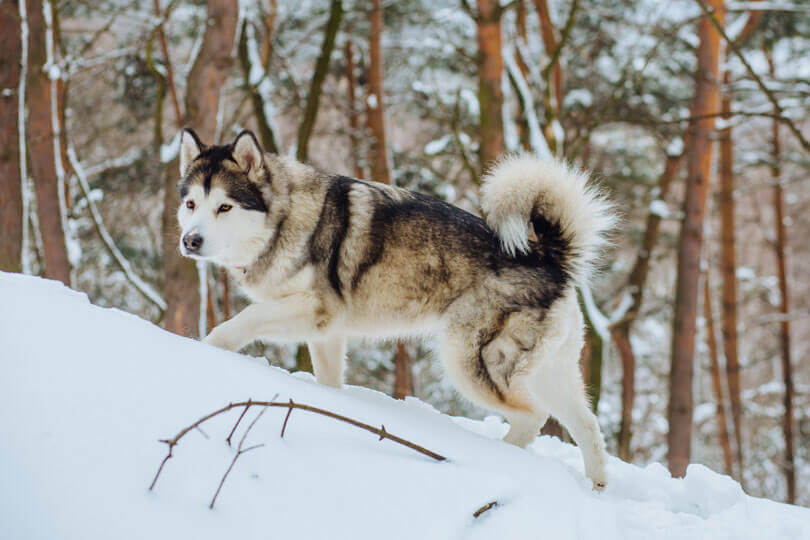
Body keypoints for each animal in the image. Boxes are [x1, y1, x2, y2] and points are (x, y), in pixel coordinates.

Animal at [177, 127, 612, 490]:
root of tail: (548, 259)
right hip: (551, 373)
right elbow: (328, 381)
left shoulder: (315, 309)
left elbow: (242, 321)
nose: (190, 241)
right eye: (191, 203)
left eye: (225, 207)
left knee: (530, 415)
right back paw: (596, 486)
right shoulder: (327, 332)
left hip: (466, 361)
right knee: (588, 427)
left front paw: (206, 350)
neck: (285, 220)